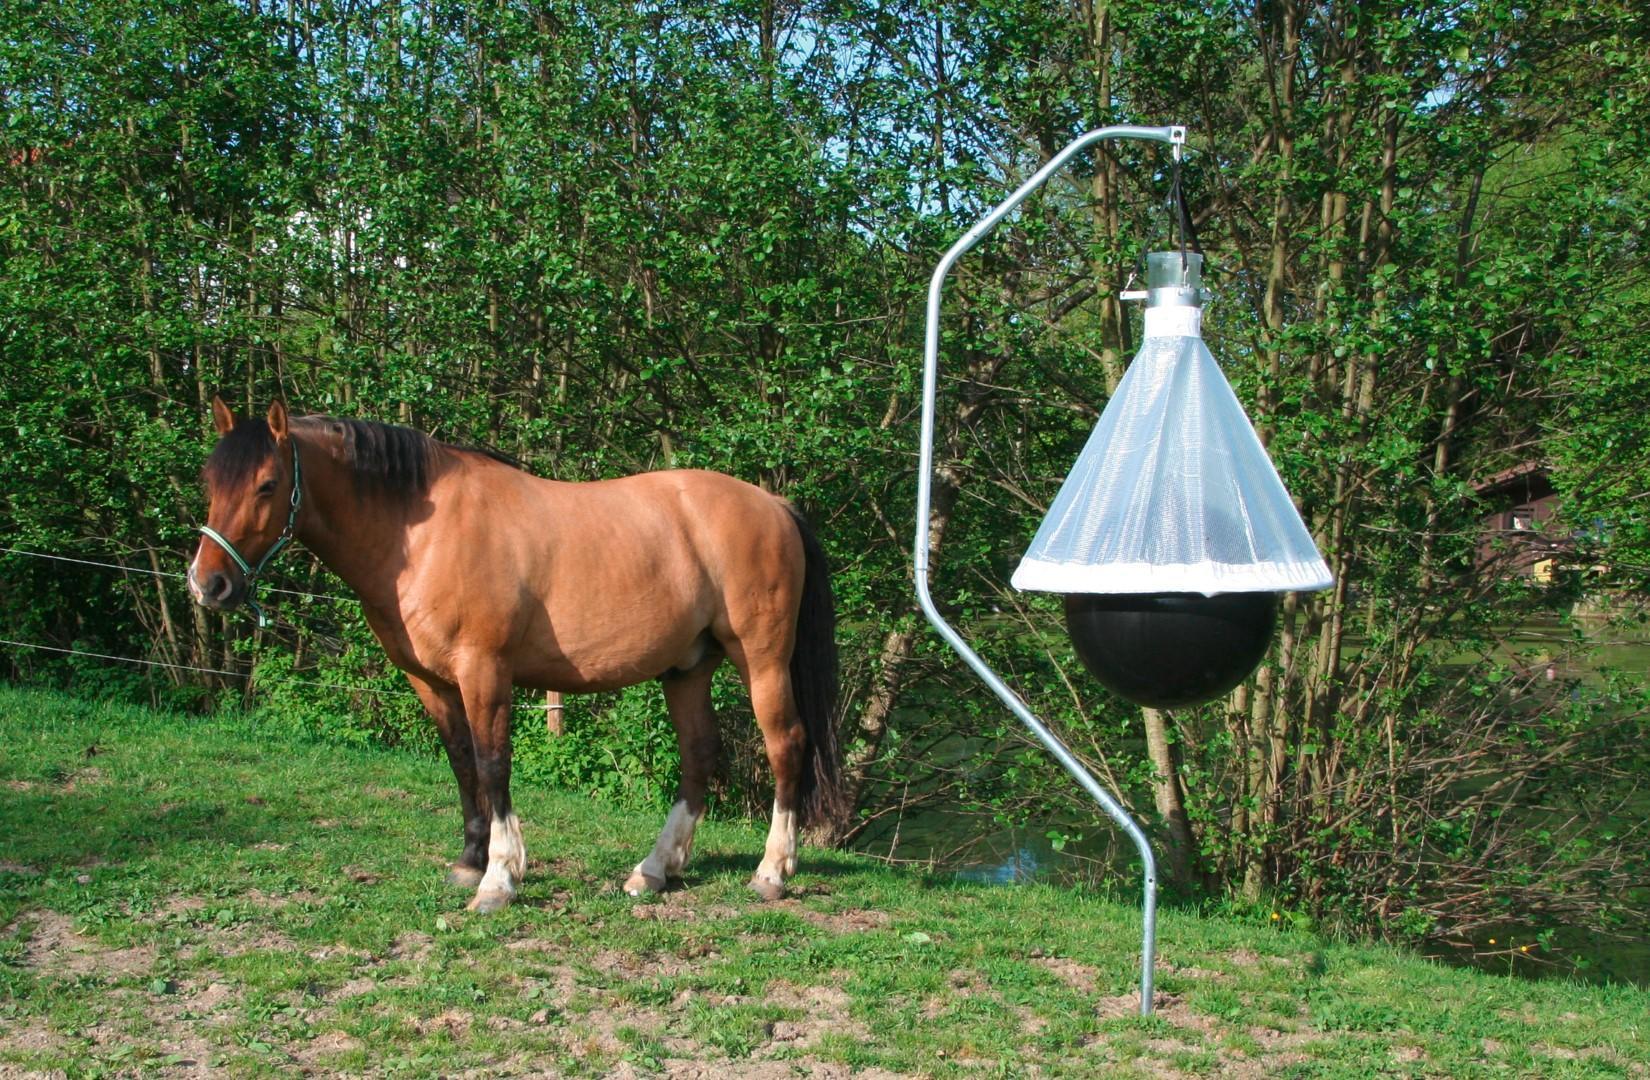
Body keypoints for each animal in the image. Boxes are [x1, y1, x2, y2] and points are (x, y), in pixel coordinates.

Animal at [188, 397, 841, 912]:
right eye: (210, 482)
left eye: (267, 485)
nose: (207, 584)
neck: (420, 534)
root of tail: (774, 506)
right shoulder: (431, 680)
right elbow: (461, 761)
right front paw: (470, 861)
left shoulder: (484, 670)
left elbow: (493, 763)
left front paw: (499, 878)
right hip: (687, 667)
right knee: (700, 754)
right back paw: (655, 871)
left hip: (760, 659)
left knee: (786, 745)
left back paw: (771, 872)